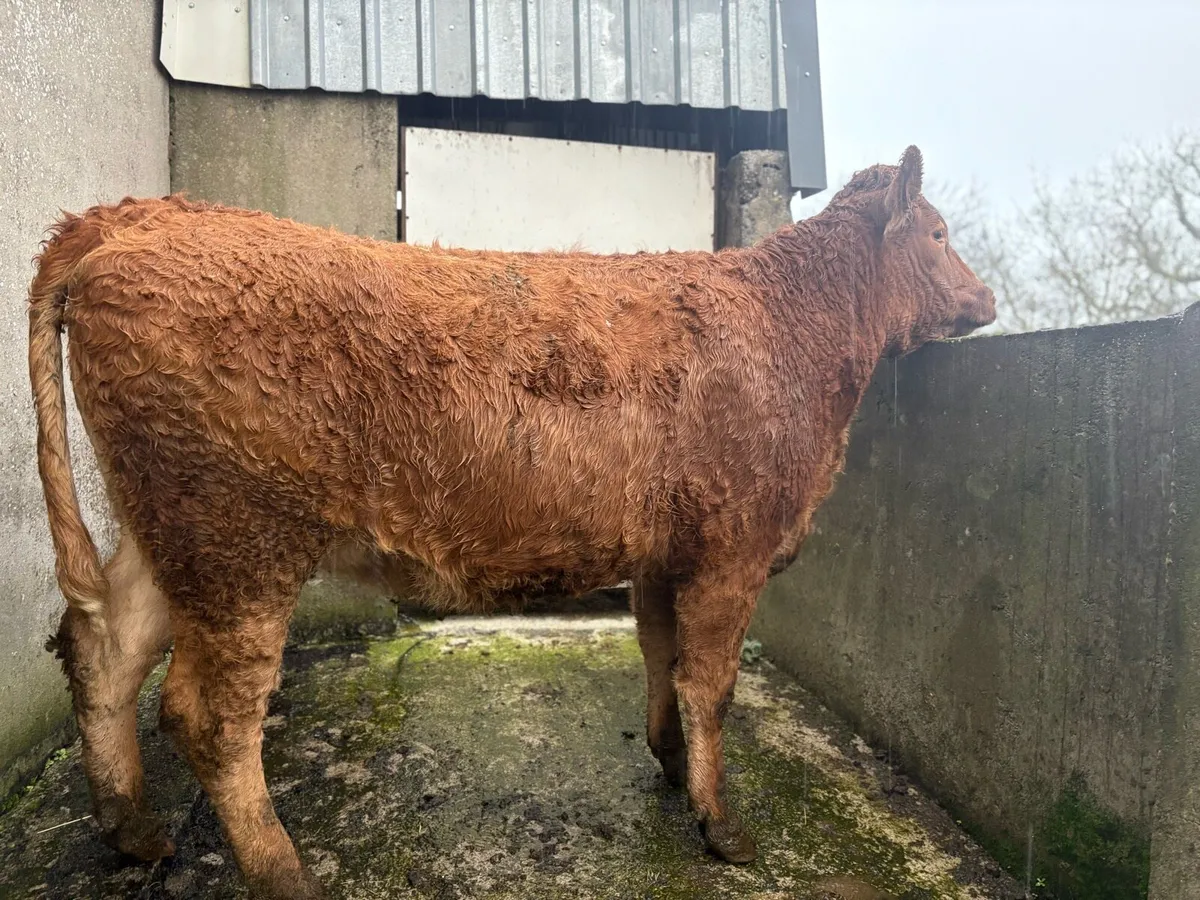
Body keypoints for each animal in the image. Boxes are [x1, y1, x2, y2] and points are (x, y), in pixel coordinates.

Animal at [28, 146, 995, 898]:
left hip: (167, 531)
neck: (797, 329)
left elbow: (662, 658)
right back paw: (282, 872)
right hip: (238, 540)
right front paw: (723, 827)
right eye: (940, 236)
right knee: (207, 714)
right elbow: (712, 684)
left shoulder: (662, 554)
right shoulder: (734, 549)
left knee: (105, 650)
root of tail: (131, 214)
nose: (988, 301)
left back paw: (133, 830)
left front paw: (671, 766)